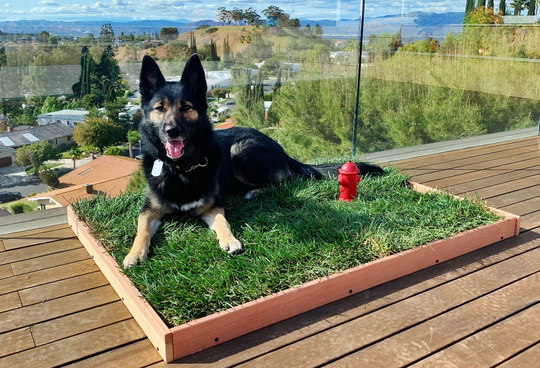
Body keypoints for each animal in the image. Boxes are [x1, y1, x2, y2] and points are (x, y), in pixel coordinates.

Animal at [123, 54, 384, 268]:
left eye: (186, 107)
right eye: (159, 108)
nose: (172, 131)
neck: (180, 167)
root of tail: (278, 146)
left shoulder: (213, 206)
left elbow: (223, 221)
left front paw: (230, 240)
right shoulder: (149, 211)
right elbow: (141, 230)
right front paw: (134, 253)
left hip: (240, 150)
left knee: (285, 181)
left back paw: (254, 192)